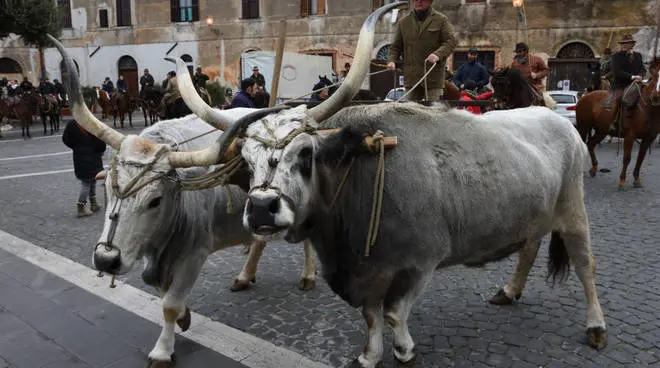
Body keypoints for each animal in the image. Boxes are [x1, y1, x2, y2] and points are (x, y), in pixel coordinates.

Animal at [572, 58, 660, 188]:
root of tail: (585, 97)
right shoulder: (630, 136)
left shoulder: (648, 138)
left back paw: (594, 169)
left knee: (591, 145)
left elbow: (640, 158)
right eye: (655, 78)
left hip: (601, 131)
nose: (656, 97)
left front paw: (637, 179)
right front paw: (622, 180)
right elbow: (627, 158)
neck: (648, 108)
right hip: (583, 127)